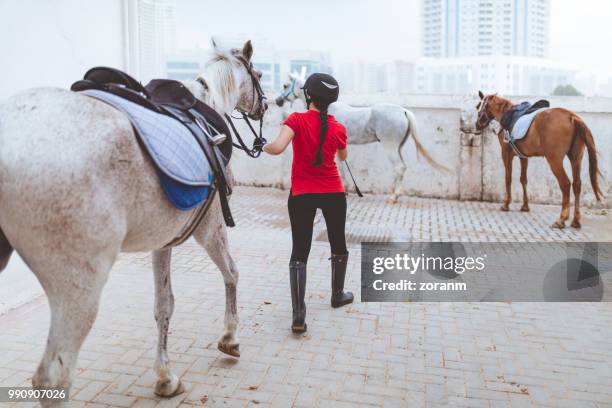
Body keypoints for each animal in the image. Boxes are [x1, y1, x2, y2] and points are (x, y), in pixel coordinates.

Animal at [0, 40, 262, 404]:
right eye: (260, 75)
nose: (268, 106)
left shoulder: (163, 240)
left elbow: (164, 305)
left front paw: (165, 377)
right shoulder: (209, 227)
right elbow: (232, 272)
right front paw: (229, 337)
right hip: (78, 285)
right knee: (53, 377)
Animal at [274, 73, 448, 202]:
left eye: (285, 85)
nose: (278, 101)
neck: (326, 109)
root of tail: (403, 111)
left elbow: (340, 168)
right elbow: (342, 166)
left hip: (390, 147)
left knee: (399, 167)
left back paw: (393, 196)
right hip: (397, 148)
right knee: (401, 168)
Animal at [474, 90, 604, 228]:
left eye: (479, 106)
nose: (477, 125)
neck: (507, 115)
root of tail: (572, 117)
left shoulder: (506, 154)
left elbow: (508, 178)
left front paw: (506, 204)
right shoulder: (523, 156)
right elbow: (523, 179)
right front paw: (525, 206)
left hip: (554, 160)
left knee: (565, 184)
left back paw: (561, 219)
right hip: (575, 158)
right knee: (577, 184)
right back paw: (575, 220)